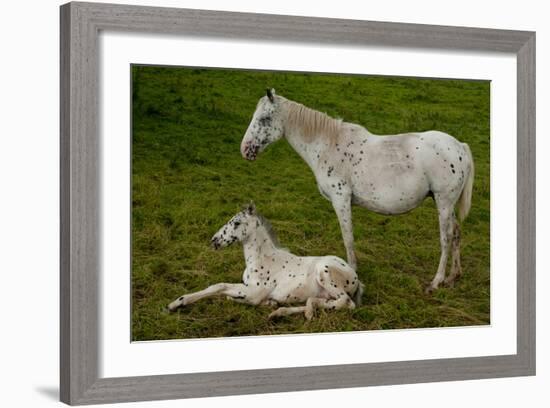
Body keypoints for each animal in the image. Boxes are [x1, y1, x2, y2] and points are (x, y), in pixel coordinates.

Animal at [169, 203, 366, 318]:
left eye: (237, 223)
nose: (214, 241)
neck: (261, 259)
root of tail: (356, 277)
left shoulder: (254, 291)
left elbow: (219, 286)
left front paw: (177, 303)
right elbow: (227, 295)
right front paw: (269, 303)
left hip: (325, 273)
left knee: (345, 303)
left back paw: (305, 311)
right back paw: (280, 311)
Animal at [243, 89, 478, 294]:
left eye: (264, 119)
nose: (245, 149)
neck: (328, 145)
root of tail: (460, 146)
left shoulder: (341, 200)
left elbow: (348, 237)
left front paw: (352, 270)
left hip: (443, 202)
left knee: (446, 238)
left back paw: (437, 281)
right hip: (446, 203)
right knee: (457, 233)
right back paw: (453, 277)